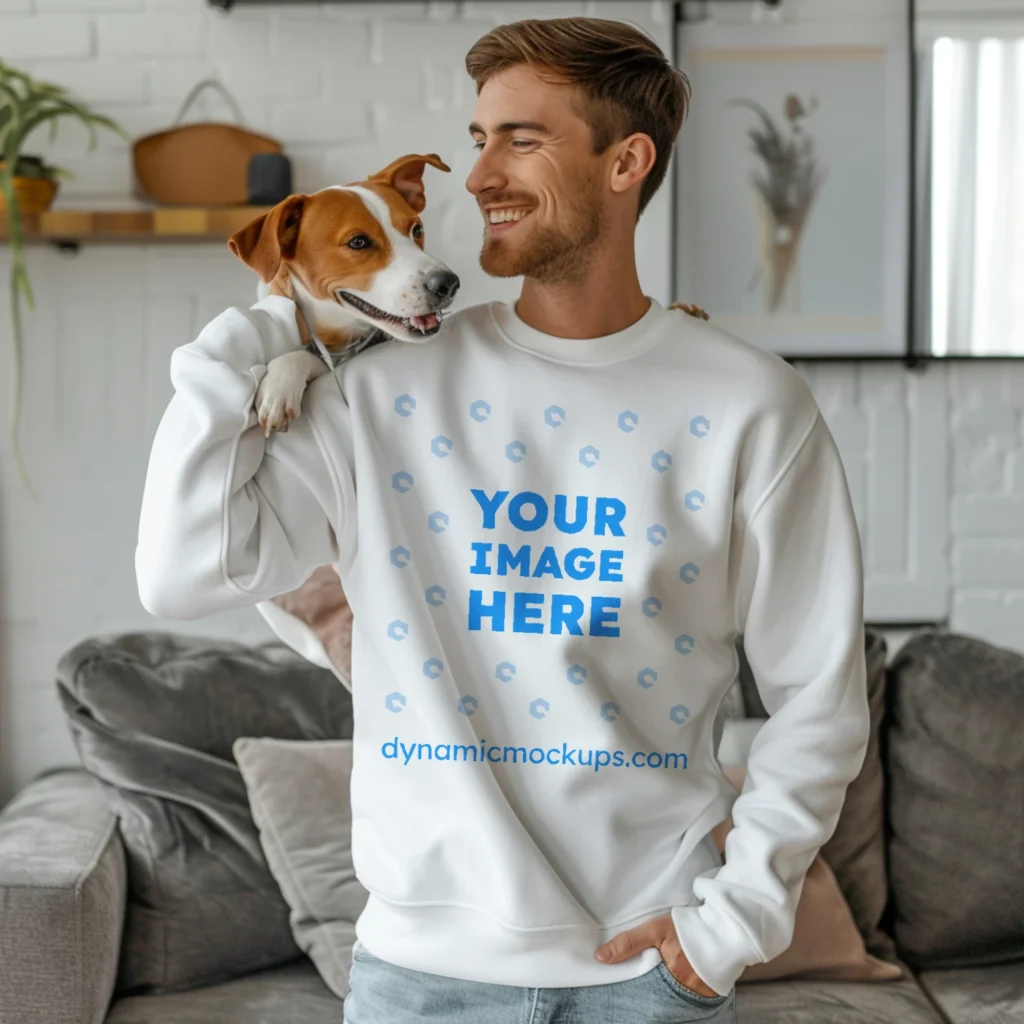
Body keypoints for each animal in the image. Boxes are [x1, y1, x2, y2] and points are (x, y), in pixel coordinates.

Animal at [232, 153, 460, 434]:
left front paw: (281, 382)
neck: (338, 336)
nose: (448, 284)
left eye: (416, 230)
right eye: (358, 242)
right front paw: (280, 383)